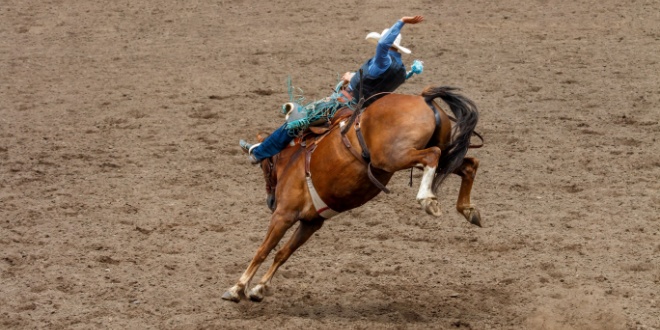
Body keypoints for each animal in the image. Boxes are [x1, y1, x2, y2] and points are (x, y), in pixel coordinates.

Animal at [222, 86, 480, 302]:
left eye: (266, 167)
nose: (271, 201)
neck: (293, 158)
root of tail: (423, 97)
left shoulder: (284, 215)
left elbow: (263, 251)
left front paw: (237, 288)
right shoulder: (311, 222)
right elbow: (283, 254)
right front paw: (259, 288)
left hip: (393, 156)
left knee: (432, 155)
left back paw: (427, 199)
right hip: (443, 152)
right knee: (469, 164)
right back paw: (469, 210)